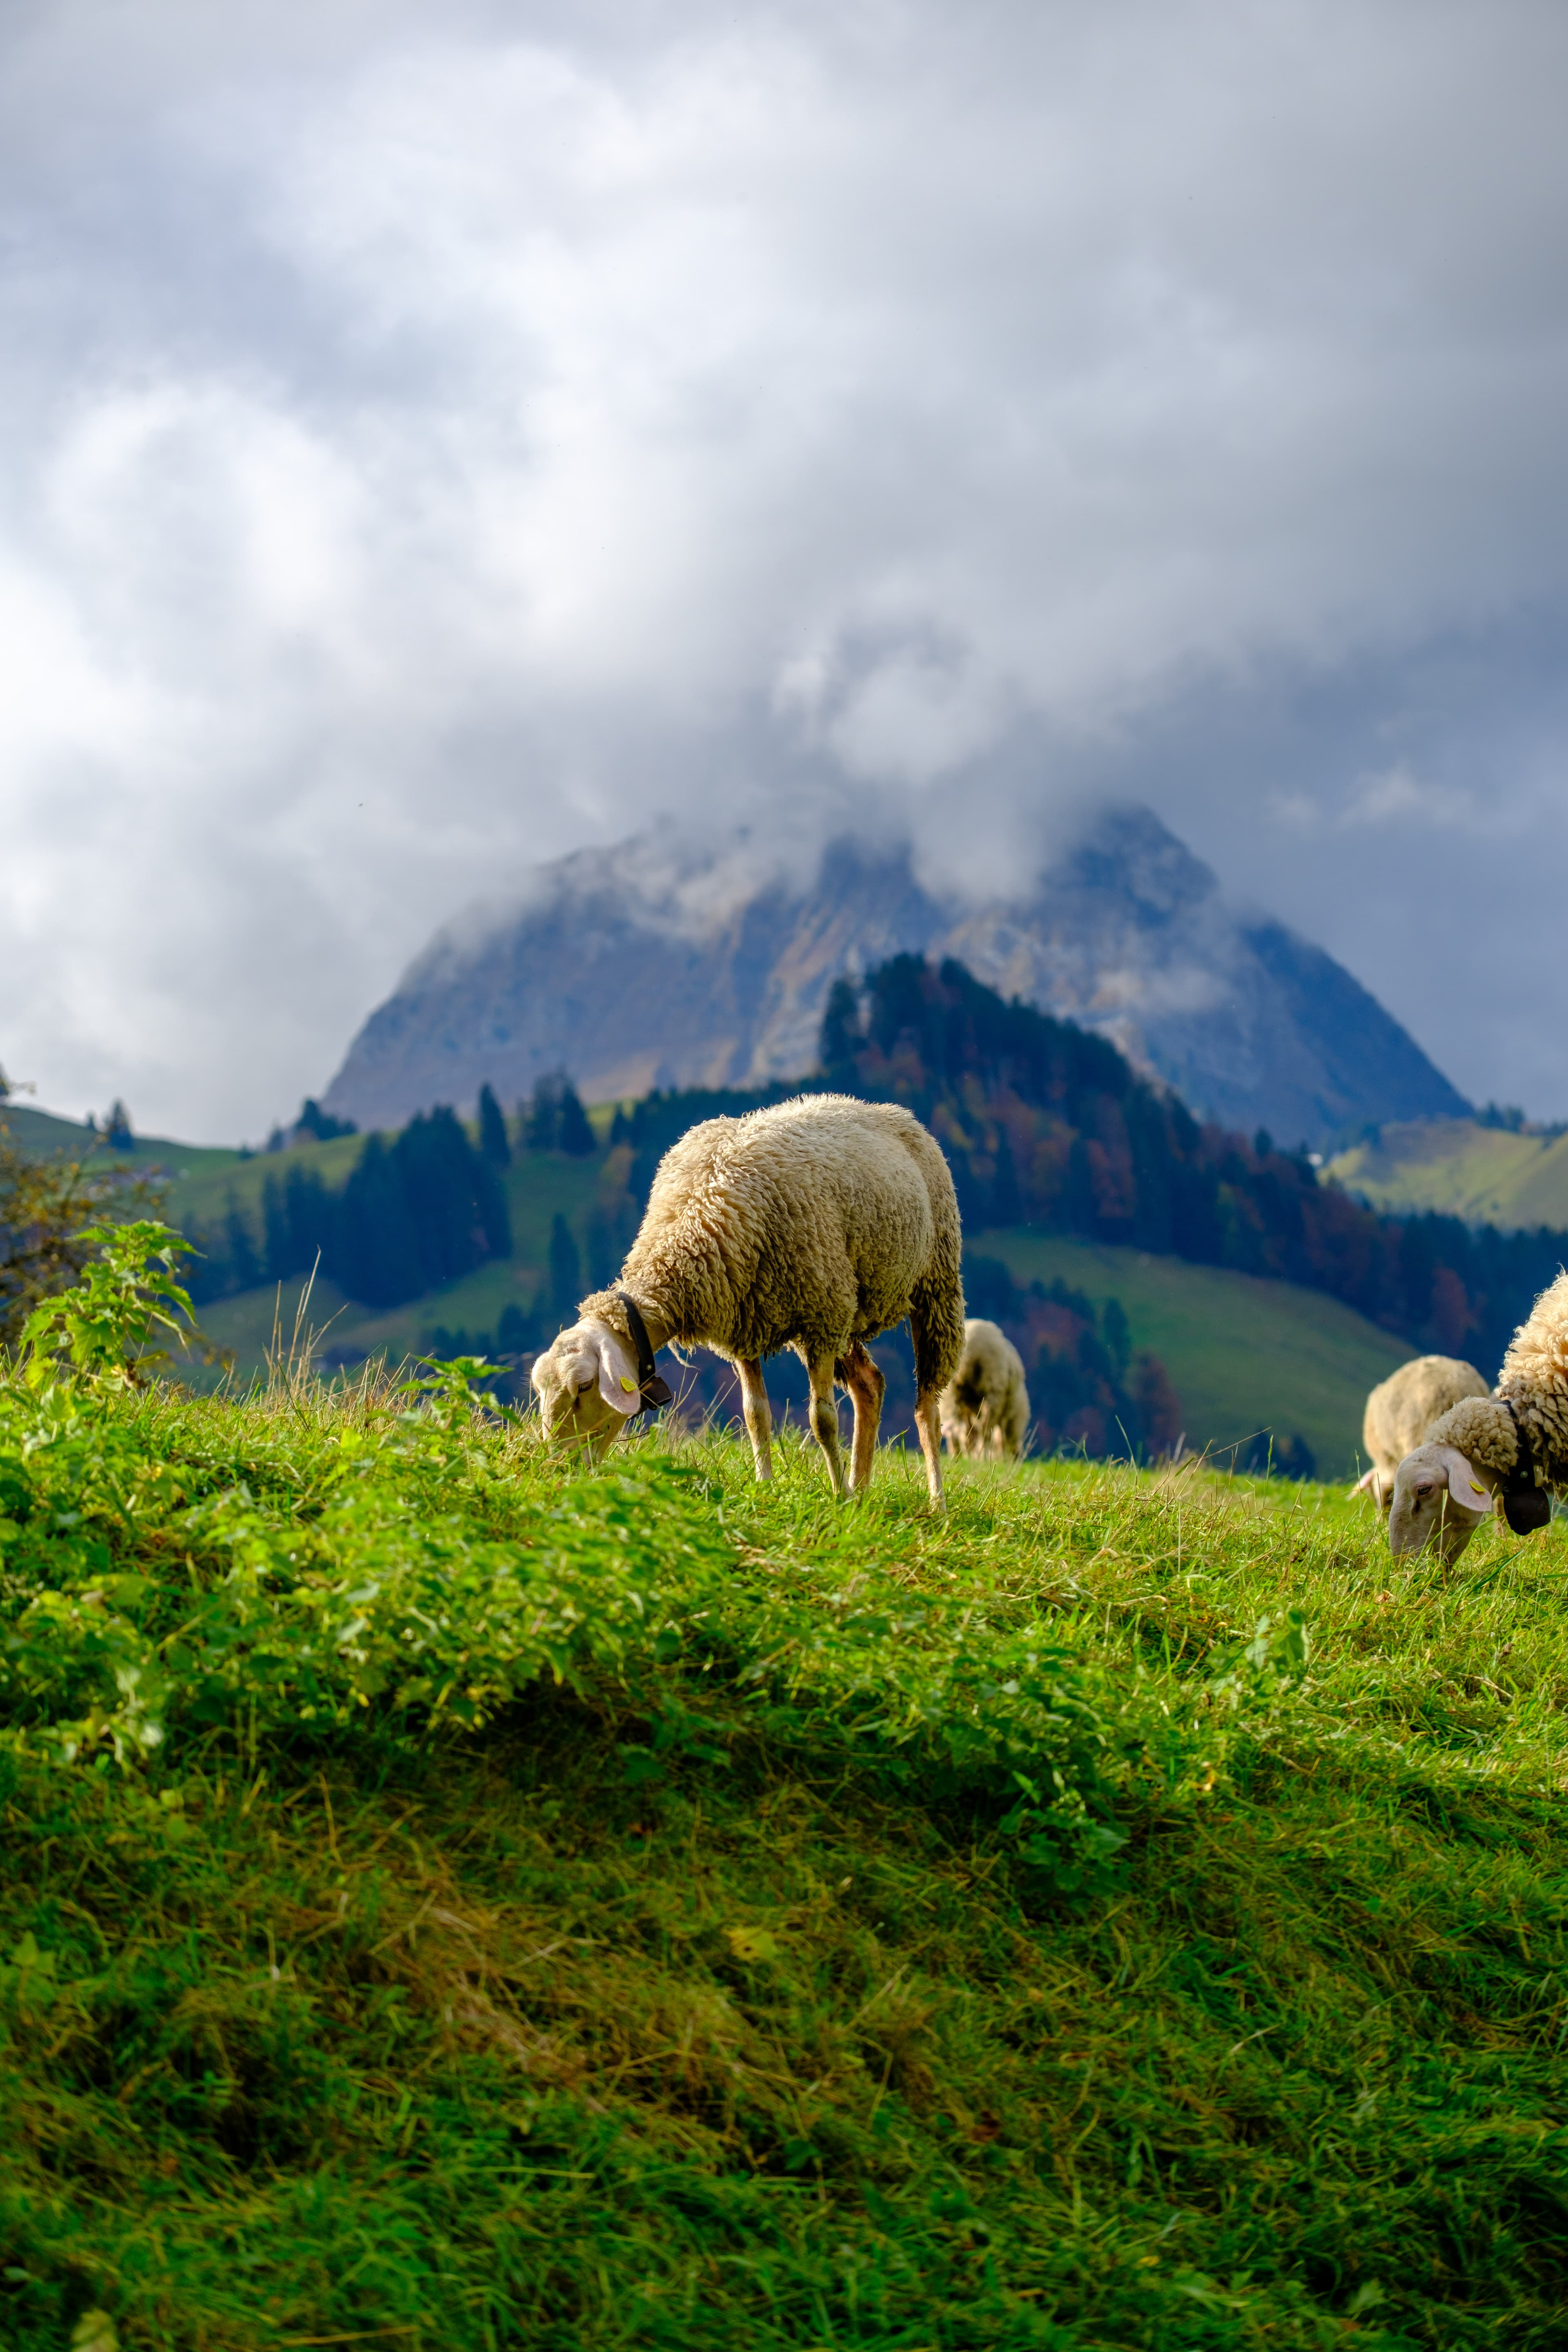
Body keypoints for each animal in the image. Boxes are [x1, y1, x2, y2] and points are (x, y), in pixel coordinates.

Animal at [530, 1092, 966, 1504]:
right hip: (850, 1305)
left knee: (928, 1408)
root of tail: (886, 1109)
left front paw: (837, 1498)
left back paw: (935, 1501)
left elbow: (822, 1420)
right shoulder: (743, 1324)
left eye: (585, 1387)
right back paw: (861, 1490)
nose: (558, 1467)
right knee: (870, 1385)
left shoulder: (821, 1320)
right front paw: (768, 1486)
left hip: (933, 1286)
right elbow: (756, 1415)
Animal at [940, 1318, 1030, 1460]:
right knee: (985, 1430)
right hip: (992, 1390)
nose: (1014, 1460)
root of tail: (971, 1350)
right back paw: (983, 1457)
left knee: (964, 1430)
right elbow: (1000, 1437)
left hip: (953, 1398)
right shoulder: (1008, 1415)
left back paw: (970, 1457)